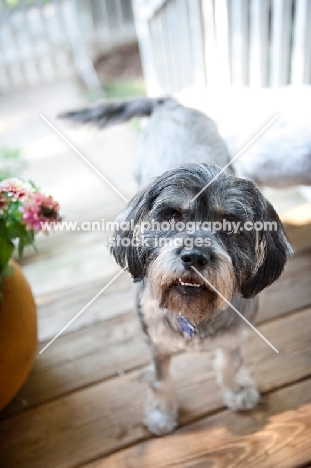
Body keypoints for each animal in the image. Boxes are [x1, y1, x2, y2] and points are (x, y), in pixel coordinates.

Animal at [59, 98, 294, 436]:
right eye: (172, 216)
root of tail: (169, 102)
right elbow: (161, 379)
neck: (195, 317)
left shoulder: (235, 335)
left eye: (230, 225)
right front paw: (161, 411)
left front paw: (236, 389)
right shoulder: (156, 344)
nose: (194, 256)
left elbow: (230, 361)